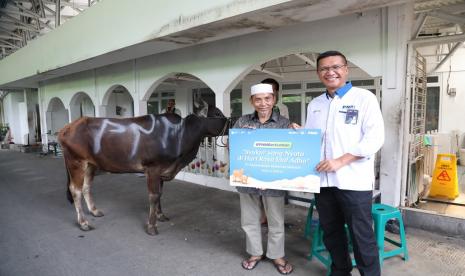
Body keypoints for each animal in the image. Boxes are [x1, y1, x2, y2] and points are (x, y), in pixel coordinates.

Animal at [58, 109, 228, 234]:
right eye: (217, 113)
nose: (231, 120)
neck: (179, 133)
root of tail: (68, 128)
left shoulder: (162, 171)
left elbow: (160, 194)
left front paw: (160, 215)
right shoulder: (153, 169)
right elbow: (153, 196)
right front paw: (152, 226)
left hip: (90, 165)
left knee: (86, 187)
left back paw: (94, 211)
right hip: (76, 162)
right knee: (75, 190)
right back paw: (84, 223)